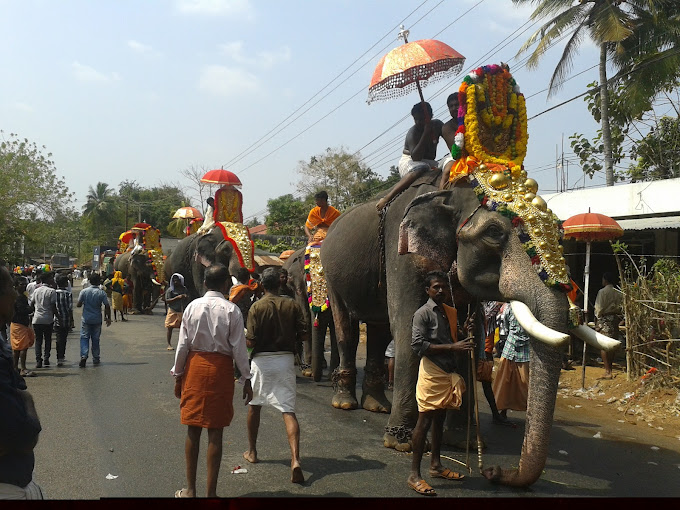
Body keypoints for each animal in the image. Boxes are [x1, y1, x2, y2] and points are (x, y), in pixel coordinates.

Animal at [282, 245, 338, 380]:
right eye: (307, 281)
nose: (315, 376)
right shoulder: (298, 288)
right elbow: (305, 318)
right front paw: (308, 372)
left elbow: (335, 325)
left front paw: (332, 376)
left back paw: (322, 364)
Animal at [318, 170, 616, 486]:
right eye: (494, 233)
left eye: (560, 235)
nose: (494, 472)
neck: (451, 191)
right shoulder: (403, 255)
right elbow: (407, 327)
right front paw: (402, 443)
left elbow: (462, 334)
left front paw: (464, 443)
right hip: (331, 274)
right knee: (347, 329)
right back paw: (345, 403)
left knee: (377, 328)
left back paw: (376, 406)